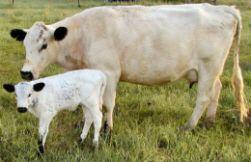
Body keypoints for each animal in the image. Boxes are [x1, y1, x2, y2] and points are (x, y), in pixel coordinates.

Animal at [10, 4, 249, 132]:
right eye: (24, 45)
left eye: (44, 45)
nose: (26, 73)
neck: (82, 36)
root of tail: (224, 8)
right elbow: (92, 104)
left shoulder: (109, 72)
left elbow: (107, 104)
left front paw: (107, 129)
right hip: (212, 70)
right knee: (216, 90)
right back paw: (209, 122)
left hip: (209, 66)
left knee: (203, 97)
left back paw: (189, 126)